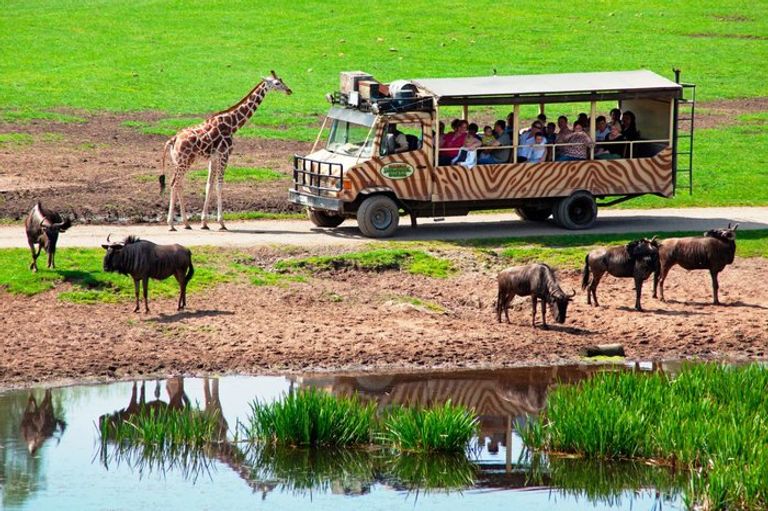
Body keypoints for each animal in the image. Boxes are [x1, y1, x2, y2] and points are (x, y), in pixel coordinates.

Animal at [160, 71, 292, 231]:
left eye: (282, 80)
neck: (232, 124)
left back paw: (186, 223)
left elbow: (209, 185)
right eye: (277, 83)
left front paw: (204, 222)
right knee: (174, 183)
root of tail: (173, 139)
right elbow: (219, 185)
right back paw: (171, 224)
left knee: (179, 184)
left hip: (180, 162)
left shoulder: (213, 157)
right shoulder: (225, 154)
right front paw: (221, 222)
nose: (289, 91)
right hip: (185, 161)